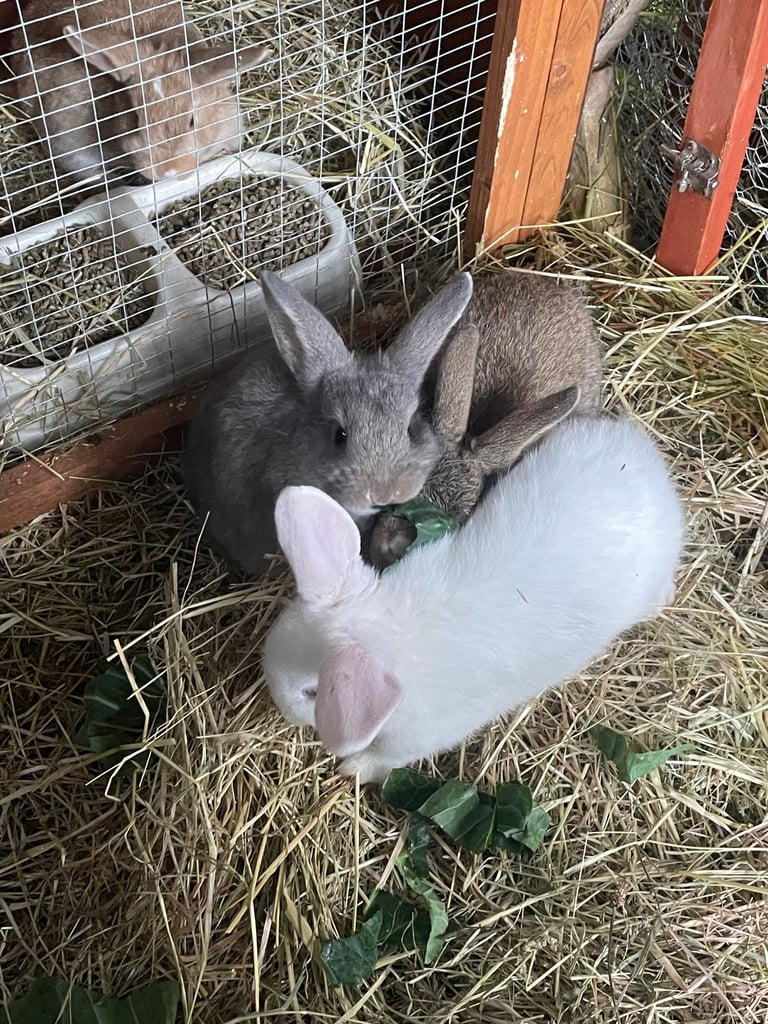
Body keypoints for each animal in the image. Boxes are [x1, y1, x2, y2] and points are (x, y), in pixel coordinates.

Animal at [262, 413, 684, 784]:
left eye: (313, 692)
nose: (281, 709)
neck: (389, 634)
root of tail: (647, 464)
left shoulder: (420, 737)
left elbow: (386, 758)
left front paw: (353, 768)